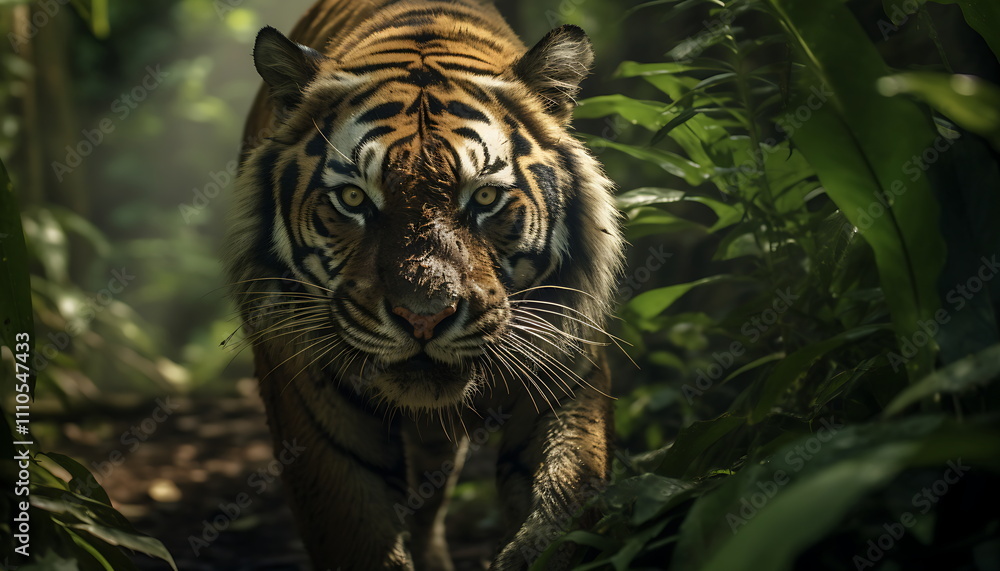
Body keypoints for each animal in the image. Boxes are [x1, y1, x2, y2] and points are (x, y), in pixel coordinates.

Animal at [223, 0, 624, 569]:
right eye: (352, 198)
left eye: (484, 199)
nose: (423, 318)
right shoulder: (314, 415)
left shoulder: (569, 372)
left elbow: (568, 504)